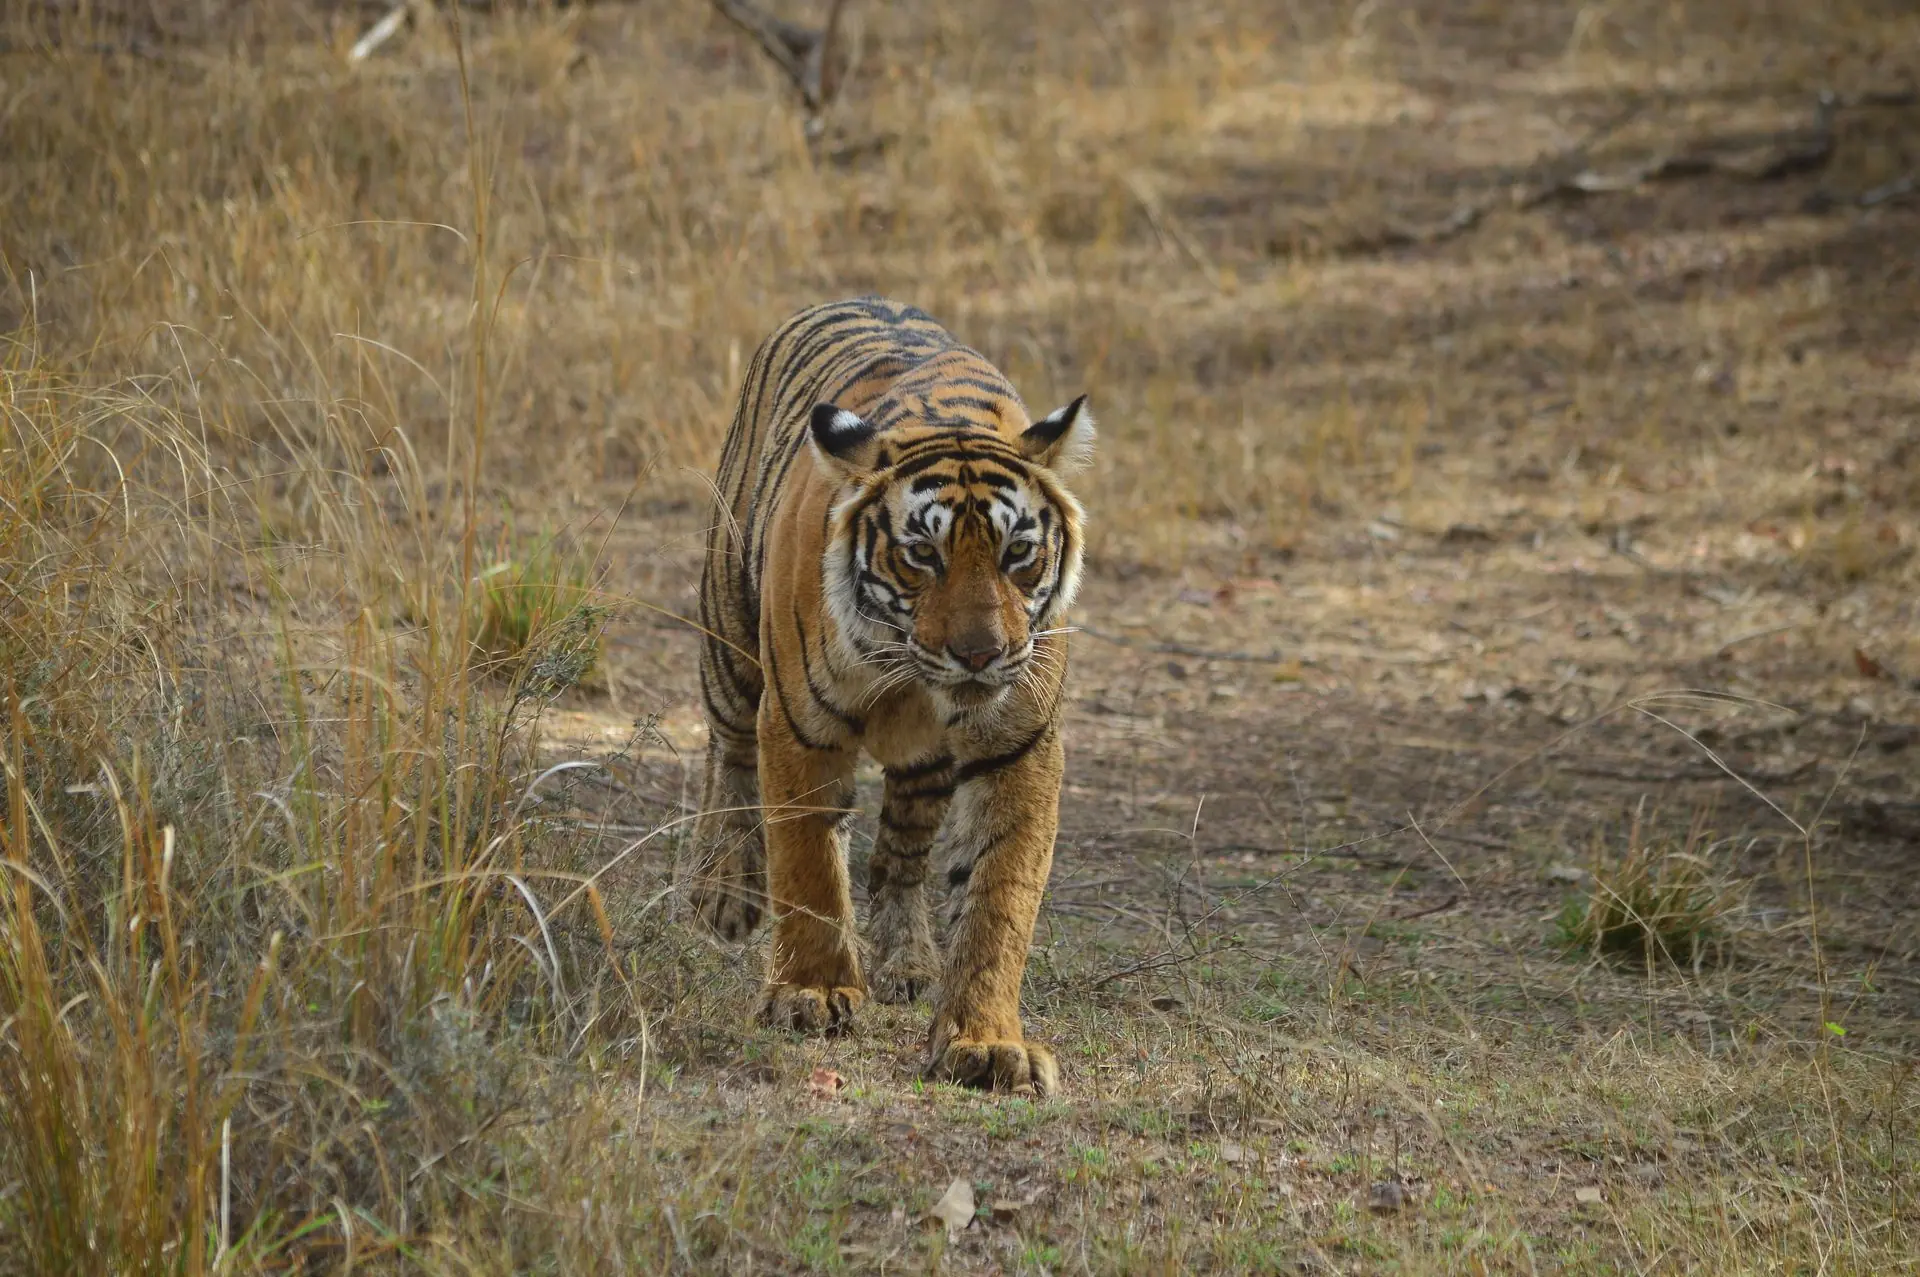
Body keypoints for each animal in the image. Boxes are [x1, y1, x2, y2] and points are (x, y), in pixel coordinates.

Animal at [685, 296, 1094, 1097]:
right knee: (729, 752)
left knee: (900, 856)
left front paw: (987, 1041)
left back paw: (907, 961)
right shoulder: (800, 725)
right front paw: (810, 993)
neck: (911, 674)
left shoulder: (1019, 745)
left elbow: (999, 898)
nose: (980, 654)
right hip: (731, 641)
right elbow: (808, 864)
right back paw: (727, 892)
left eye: (1017, 554)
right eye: (921, 555)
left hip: (925, 767)